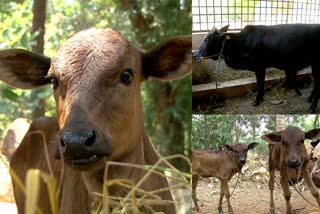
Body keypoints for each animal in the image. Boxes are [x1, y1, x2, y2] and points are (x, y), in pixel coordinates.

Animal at [192, 24, 320, 113]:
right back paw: (309, 98)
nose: (194, 54)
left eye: (206, 40)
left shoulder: (259, 67)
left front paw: (257, 101)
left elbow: (260, 84)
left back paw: (311, 108)